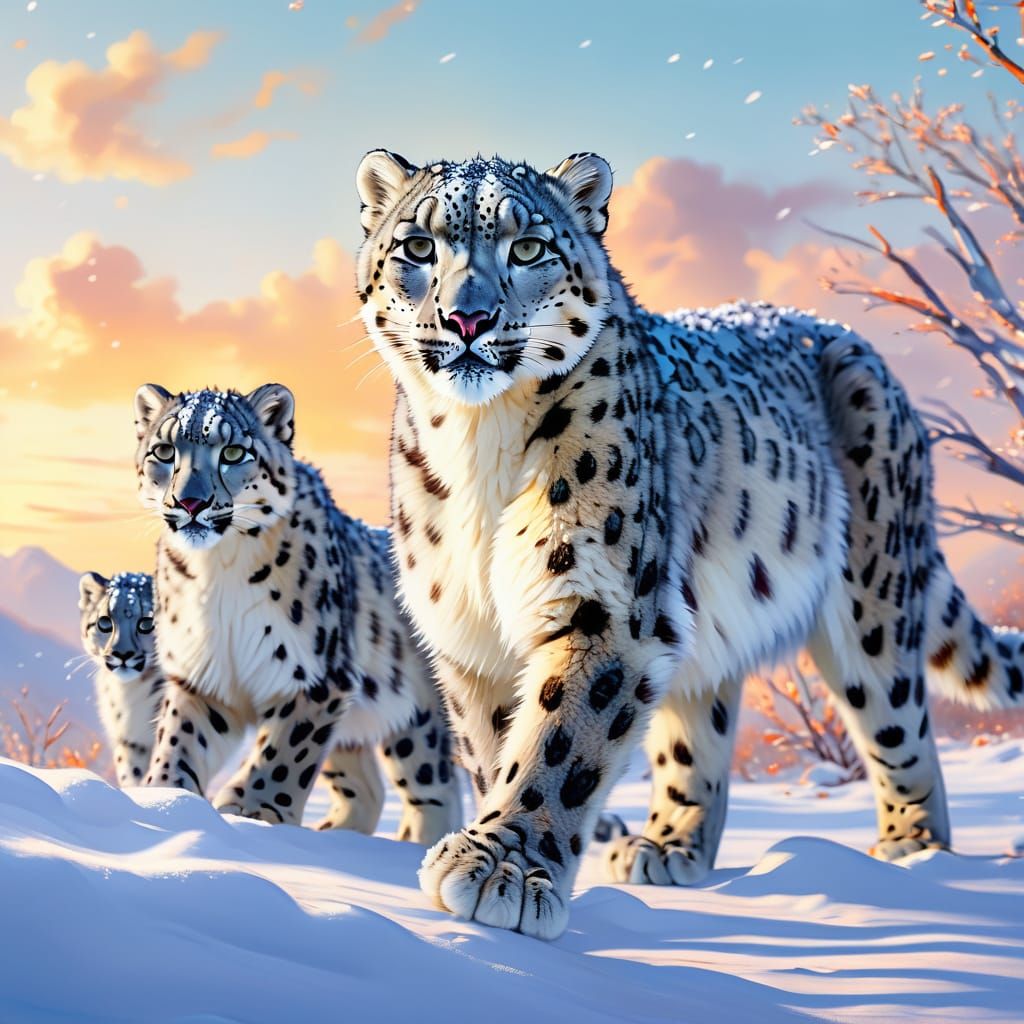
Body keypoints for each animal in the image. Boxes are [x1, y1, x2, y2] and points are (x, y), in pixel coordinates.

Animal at [133, 382, 461, 843]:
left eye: (233, 452)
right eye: (163, 451)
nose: (190, 502)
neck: (218, 570)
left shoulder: (313, 676)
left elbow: (284, 752)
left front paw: (252, 809)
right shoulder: (203, 673)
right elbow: (179, 738)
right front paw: (164, 797)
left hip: (422, 714)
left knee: (435, 785)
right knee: (368, 786)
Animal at [354, 149, 1024, 939]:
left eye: (529, 248)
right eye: (417, 247)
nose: (466, 317)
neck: (476, 440)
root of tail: (859, 345)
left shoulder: (604, 602)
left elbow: (559, 737)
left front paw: (503, 870)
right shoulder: (467, 627)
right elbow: (500, 742)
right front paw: (493, 854)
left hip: (874, 602)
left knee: (900, 723)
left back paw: (912, 859)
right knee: (698, 723)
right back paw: (668, 849)